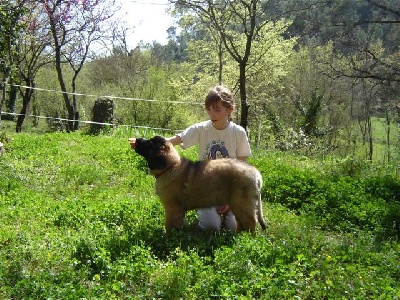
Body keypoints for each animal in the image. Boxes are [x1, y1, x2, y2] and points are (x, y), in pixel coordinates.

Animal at [130, 137, 266, 234]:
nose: (136, 139)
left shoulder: (172, 207)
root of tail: (256, 173)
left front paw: (168, 237)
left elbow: (170, 225)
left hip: (242, 203)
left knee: (251, 223)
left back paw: (246, 241)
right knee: (242, 223)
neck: (170, 167)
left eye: (149, 144)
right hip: (237, 204)